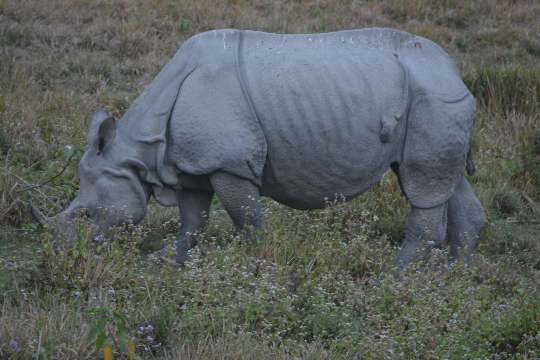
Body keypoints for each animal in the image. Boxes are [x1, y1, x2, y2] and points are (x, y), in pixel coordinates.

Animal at [30, 28, 486, 270]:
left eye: (86, 215)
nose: (68, 254)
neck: (136, 151)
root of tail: (452, 69)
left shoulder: (229, 164)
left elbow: (247, 221)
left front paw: (252, 265)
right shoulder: (192, 165)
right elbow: (191, 222)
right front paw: (163, 262)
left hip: (432, 99)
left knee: (421, 185)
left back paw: (392, 273)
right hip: (437, 100)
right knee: (444, 182)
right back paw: (453, 274)